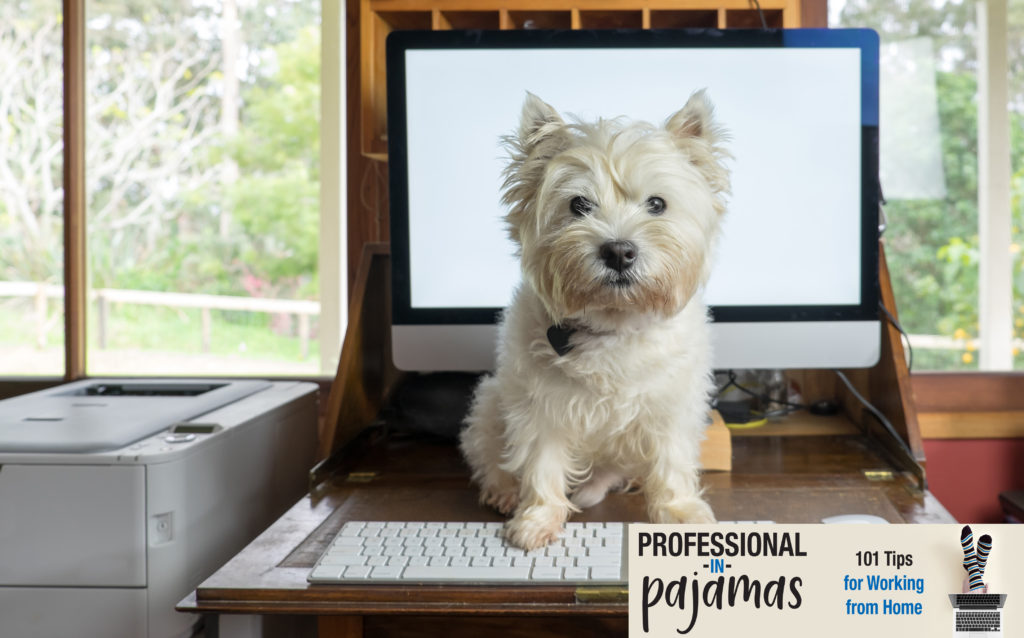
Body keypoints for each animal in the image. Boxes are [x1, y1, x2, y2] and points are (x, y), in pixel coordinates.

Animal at [460, 91, 733, 553]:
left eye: (657, 204)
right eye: (579, 205)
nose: (618, 251)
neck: (615, 323)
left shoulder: (671, 406)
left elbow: (672, 460)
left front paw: (679, 512)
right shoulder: (540, 407)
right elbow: (541, 462)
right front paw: (537, 519)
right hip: (491, 401)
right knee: (489, 453)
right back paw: (504, 492)